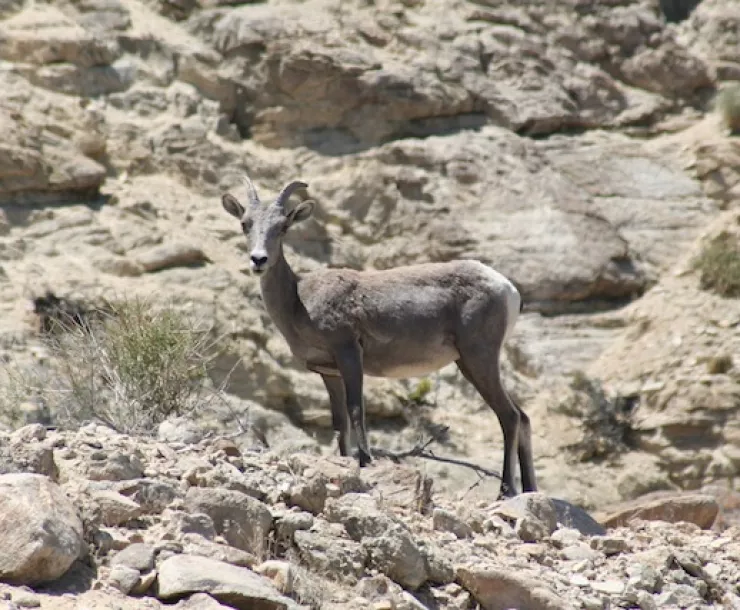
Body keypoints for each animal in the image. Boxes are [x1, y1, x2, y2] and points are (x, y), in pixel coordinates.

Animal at [221, 176, 537, 498]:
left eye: (283, 226)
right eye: (245, 223)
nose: (258, 260)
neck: (298, 301)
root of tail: (507, 289)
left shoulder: (349, 353)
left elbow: (356, 409)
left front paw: (365, 461)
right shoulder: (328, 372)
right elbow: (339, 422)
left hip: (478, 357)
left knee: (509, 416)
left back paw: (506, 491)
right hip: (473, 363)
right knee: (522, 417)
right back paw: (529, 490)